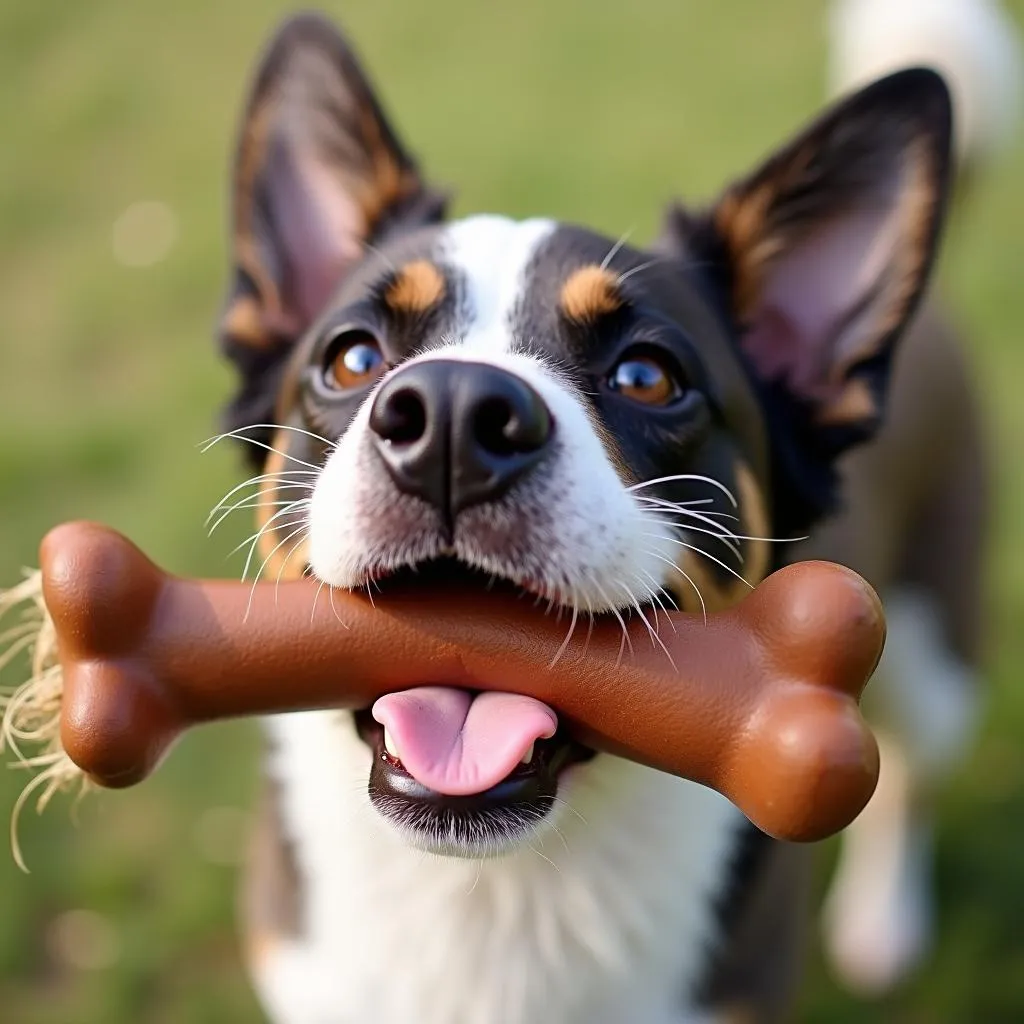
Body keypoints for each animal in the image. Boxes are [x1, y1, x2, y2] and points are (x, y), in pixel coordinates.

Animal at [209, 9, 999, 1024]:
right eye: (351, 358)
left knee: (909, 782)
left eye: (648, 375)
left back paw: (882, 919)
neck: (498, 895)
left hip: (936, 655)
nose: (454, 417)